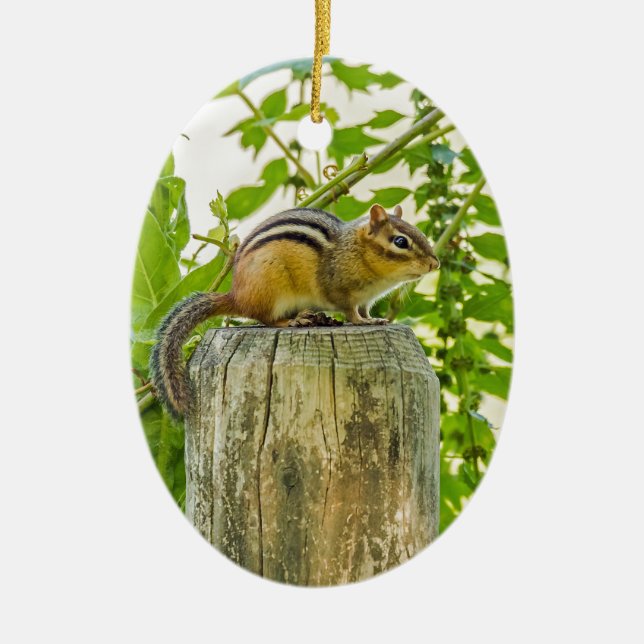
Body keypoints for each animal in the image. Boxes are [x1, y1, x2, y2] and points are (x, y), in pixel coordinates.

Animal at [150, 203, 440, 418]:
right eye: (400, 241)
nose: (435, 264)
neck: (358, 252)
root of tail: (236, 296)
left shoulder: (366, 299)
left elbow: (366, 310)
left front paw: (375, 319)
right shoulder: (341, 291)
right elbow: (350, 312)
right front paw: (361, 323)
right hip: (272, 288)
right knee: (265, 318)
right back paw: (293, 321)